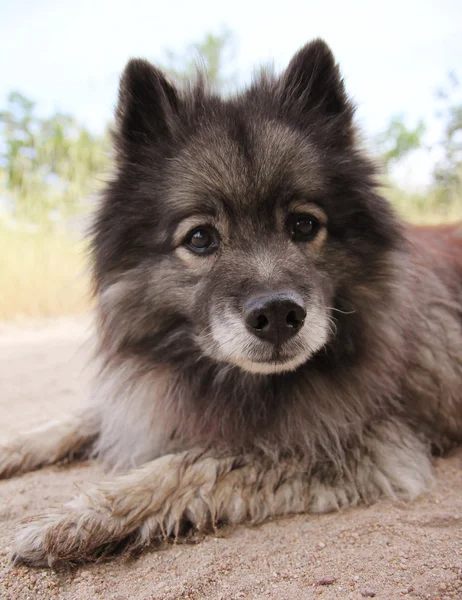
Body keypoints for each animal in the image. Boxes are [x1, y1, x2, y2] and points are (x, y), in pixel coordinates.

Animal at [2, 38, 462, 568]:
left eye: (304, 225)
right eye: (200, 238)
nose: (278, 315)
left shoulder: (363, 445)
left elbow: (188, 465)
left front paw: (74, 520)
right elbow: (79, 418)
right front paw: (13, 448)